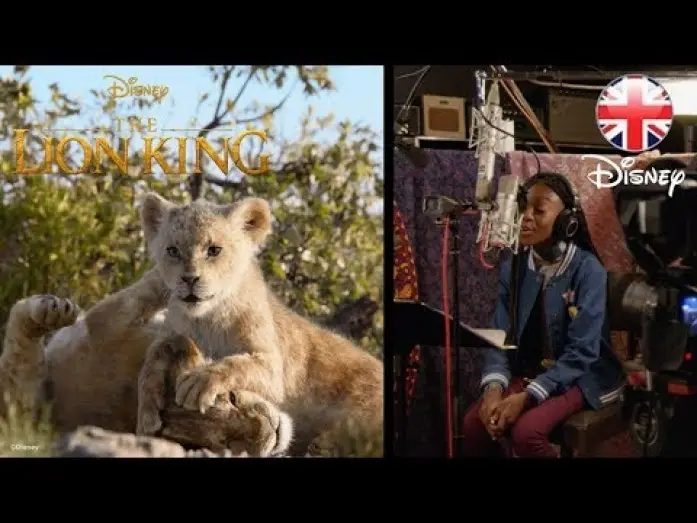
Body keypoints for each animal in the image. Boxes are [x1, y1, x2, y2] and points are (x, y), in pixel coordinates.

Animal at [0, 193, 383, 457]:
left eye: (214, 250)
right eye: (173, 250)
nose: (188, 279)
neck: (206, 318)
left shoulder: (272, 365)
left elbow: (236, 363)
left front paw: (198, 381)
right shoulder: (169, 330)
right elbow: (167, 345)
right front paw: (150, 405)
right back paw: (51, 310)